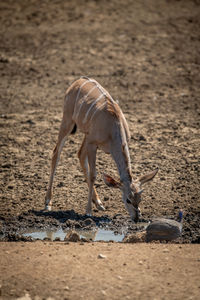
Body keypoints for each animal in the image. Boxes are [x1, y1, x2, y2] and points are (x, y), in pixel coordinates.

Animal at [45, 77, 158, 223]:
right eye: (127, 199)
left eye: (140, 199)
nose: (136, 218)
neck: (113, 127)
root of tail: (78, 80)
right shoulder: (93, 144)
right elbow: (93, 175)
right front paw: (88, 212)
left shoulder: (93, 141)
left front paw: (96, 205)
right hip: (67, 121)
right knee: (56, 153)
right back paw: (48, 202)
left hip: (85, 135)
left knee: (80, 154)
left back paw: (98, 202)